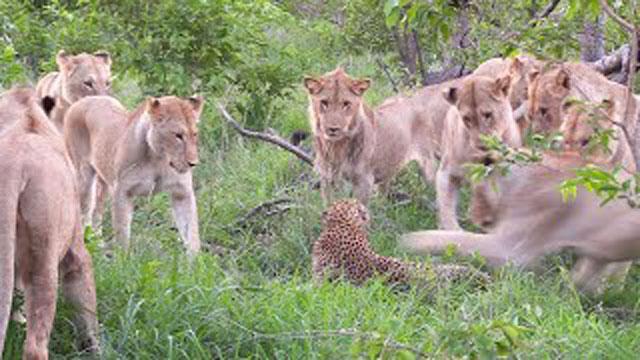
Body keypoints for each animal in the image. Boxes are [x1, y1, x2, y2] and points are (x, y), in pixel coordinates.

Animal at [0, 86, 99, 358]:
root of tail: (15, 165)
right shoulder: (76, 246)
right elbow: (85, 302)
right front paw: (95, 349)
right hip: (44, 259)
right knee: (36, 345)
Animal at [62, 94, 202, 255]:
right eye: (178, 135)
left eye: (195, 134)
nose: (193, 163)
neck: (158, 159)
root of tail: (86, 99)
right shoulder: (122, 191)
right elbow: (122, 232)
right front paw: (123, 259)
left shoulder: (182, 192)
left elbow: (192, 232)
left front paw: (195, 260)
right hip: (83, 176)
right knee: (84, 211)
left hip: (104, 181)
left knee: (97, 209)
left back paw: (97, 241)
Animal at [304, 68, 520, 229]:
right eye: (324, 103)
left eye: (346, 104)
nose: (333, 128)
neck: (337, 146)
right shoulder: (328, 179)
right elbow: (329, 206)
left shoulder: (363, 181)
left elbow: (359, 209)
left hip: (432, 166)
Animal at [400, 153, 640, 296]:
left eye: (475, 188)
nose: (473, 215)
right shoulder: (598, 254)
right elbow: (582, 278)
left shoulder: (512, 248)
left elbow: (450, 239)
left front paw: (405, 242)